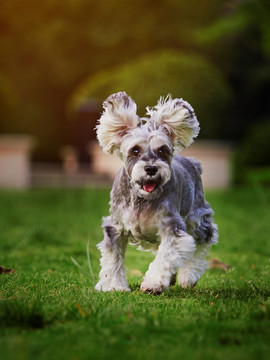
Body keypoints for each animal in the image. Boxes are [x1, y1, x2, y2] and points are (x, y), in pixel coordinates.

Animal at [94, 91, 217, 294]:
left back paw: (187, 276)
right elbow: (114, 259)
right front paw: (114, 285)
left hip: (197, 218)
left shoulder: (171, 227)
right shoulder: (116, 228)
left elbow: (165, 256)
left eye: (162, 150)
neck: (142, 199)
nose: (151, 169)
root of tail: (192, 162)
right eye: (135, 150)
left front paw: (153, 283)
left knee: (201, 243)